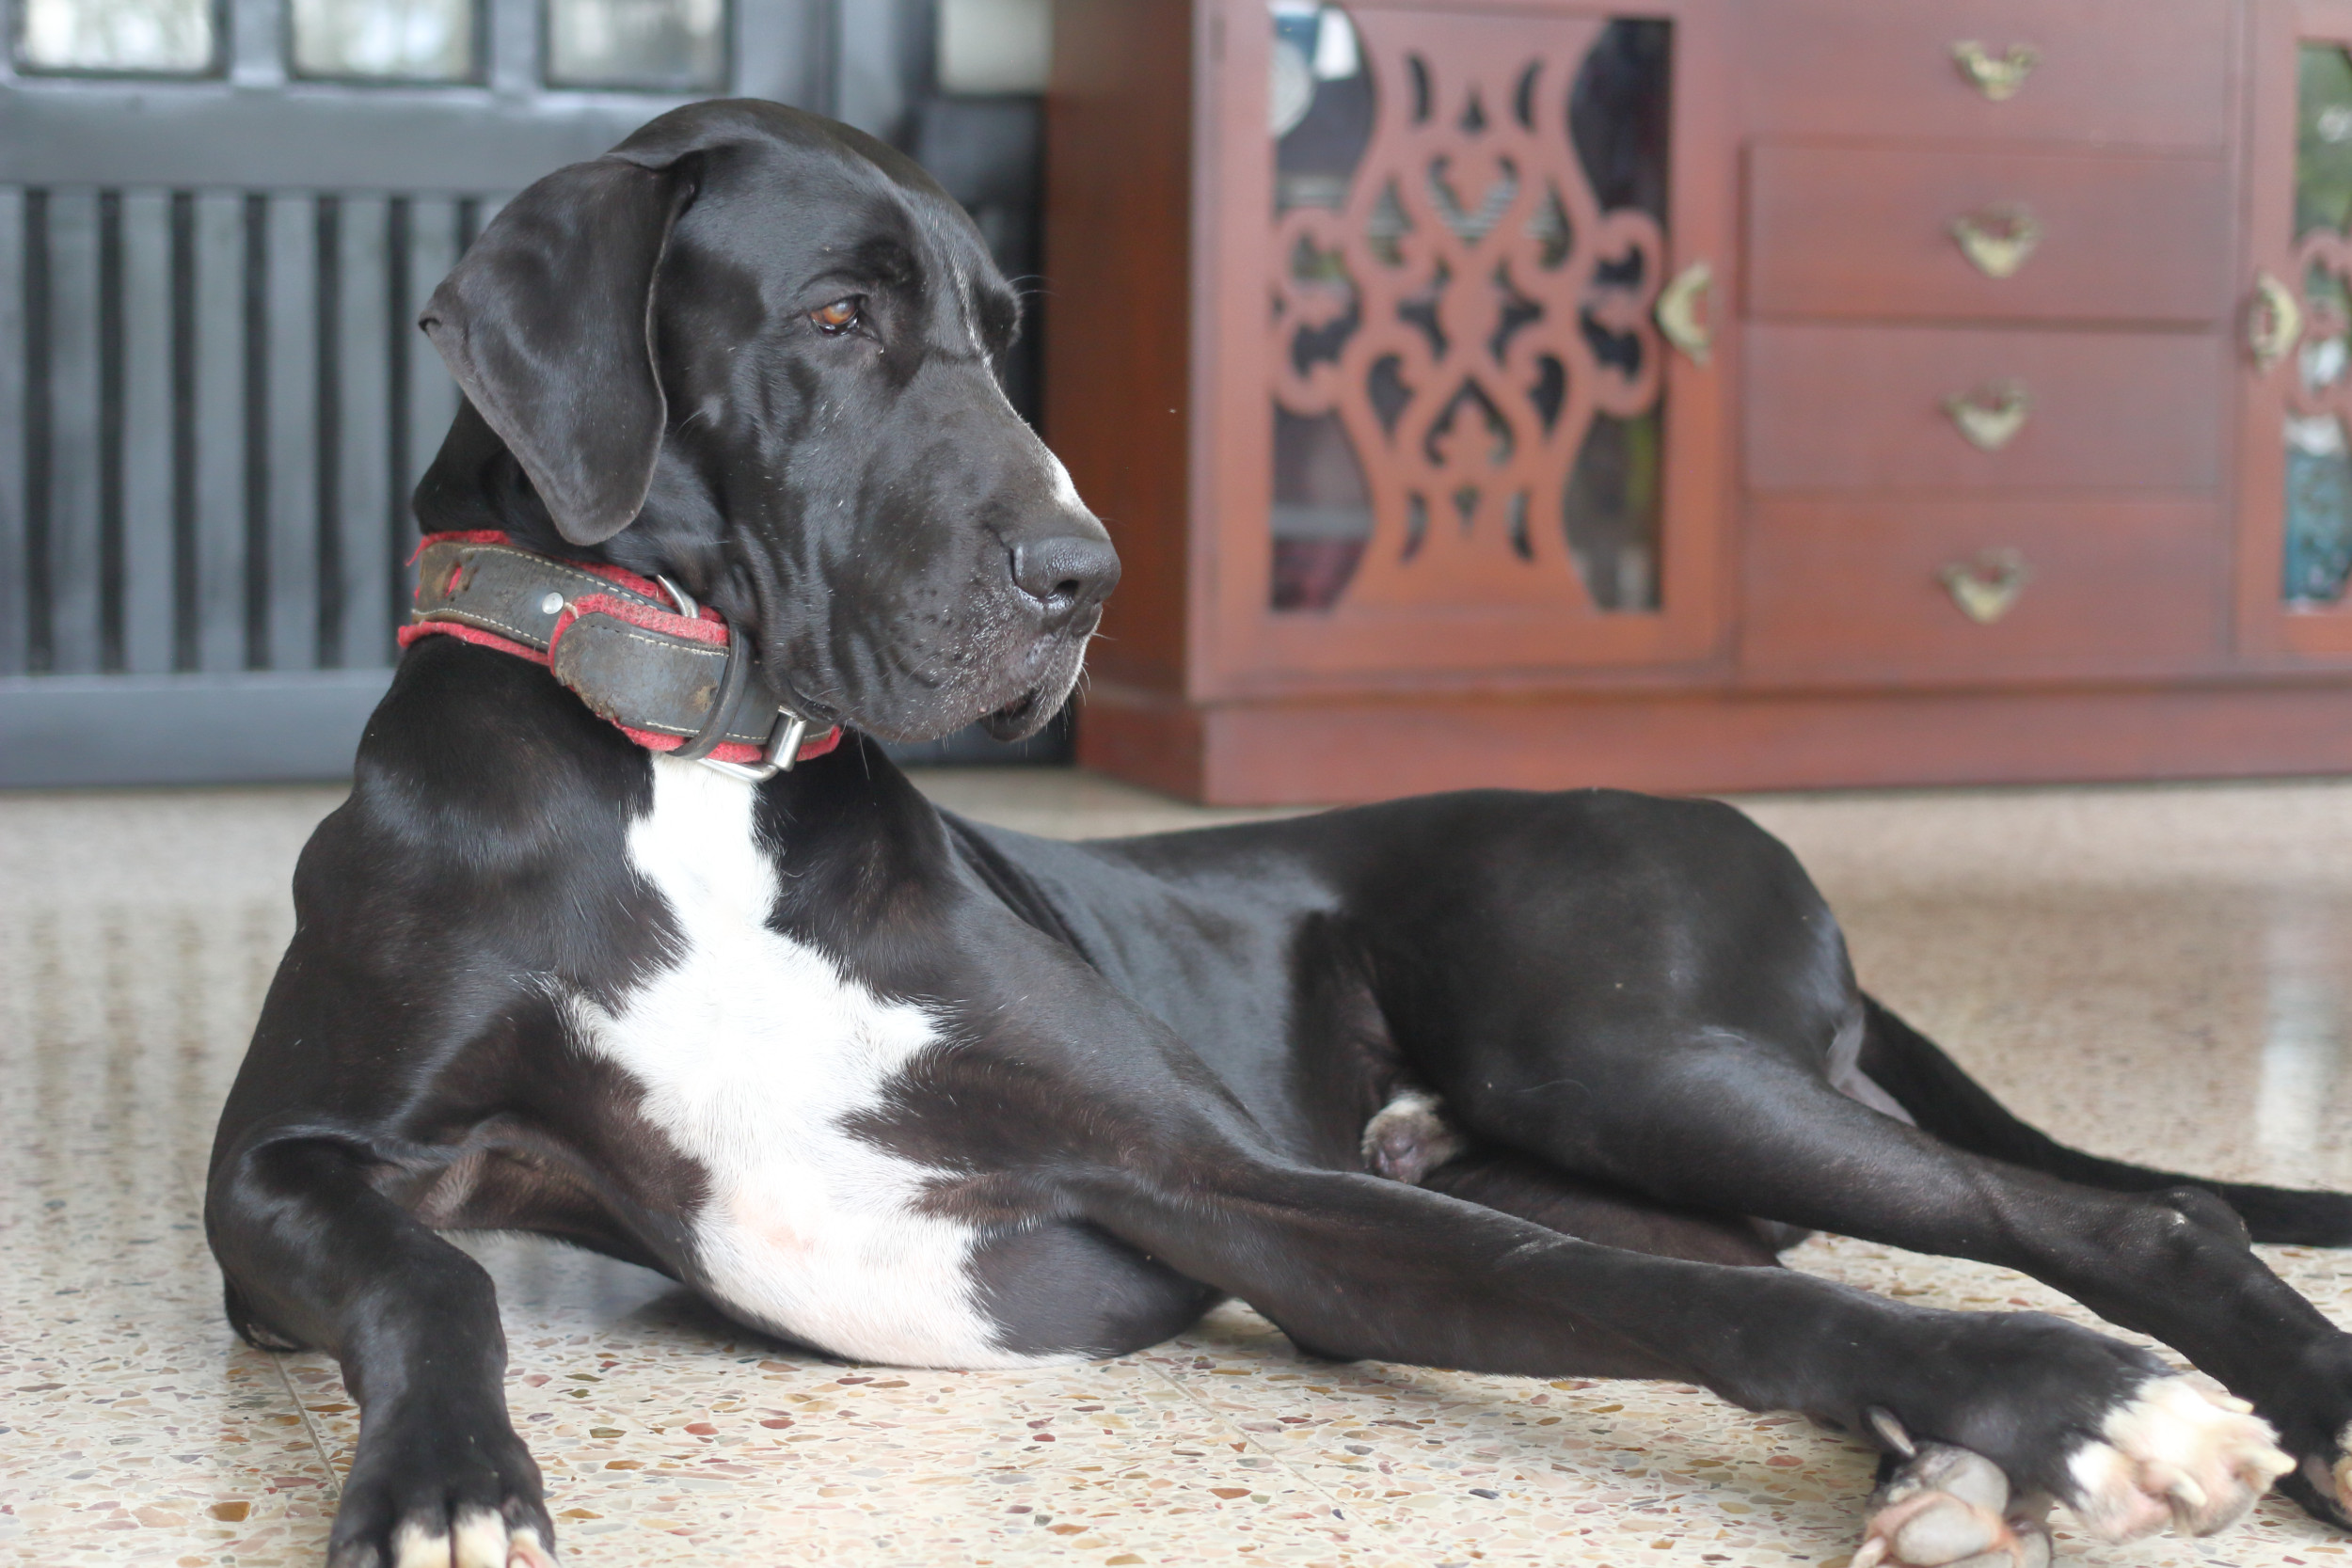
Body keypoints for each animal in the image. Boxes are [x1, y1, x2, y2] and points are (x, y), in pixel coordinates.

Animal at [216, 101, 2352, 1568]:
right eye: (835, 315)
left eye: (999, 330)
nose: (1085, 577)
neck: (692, 769)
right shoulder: (285, 1172)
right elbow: (431, 1273)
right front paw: (447, 1484)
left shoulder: (1225, 1181)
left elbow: (1727, 1309)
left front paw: (2073, 1396)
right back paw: (1954, 1476)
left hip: (1624, 1052)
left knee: (2118, 1213)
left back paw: (2256, 1409)